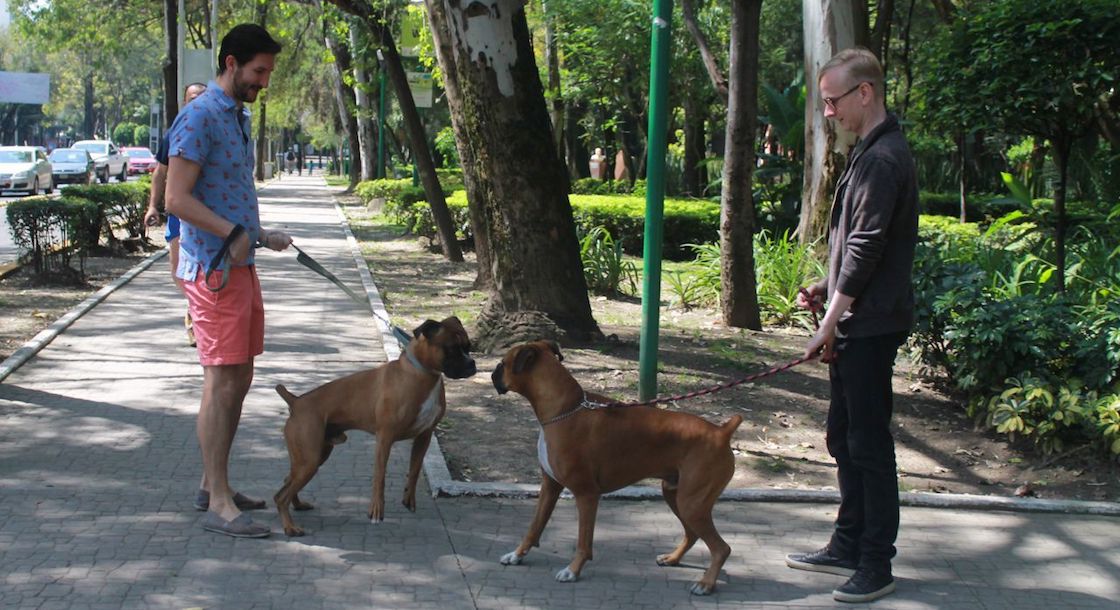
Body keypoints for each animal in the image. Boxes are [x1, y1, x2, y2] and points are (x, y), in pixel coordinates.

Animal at [278, 315, 477, 535]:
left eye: (469, 347)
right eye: (451, 348)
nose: (472, 363)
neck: (424, 374)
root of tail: (296, 401)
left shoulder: (424, 436)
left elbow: (415, 470)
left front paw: (409, 497)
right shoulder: (385, 438)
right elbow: (379, 476)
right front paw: (376, 510)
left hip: (314, 457)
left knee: (286, 483)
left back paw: (298, 506)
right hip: (309, 460)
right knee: (281, 496)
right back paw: (290, 527)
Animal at [492, 340, 743, 595]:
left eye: (502, 364)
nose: (493, 373)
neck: (563, 410)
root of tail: (721, 431)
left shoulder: (586, 495)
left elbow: (584, 541)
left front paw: (573, 570)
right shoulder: (550, 487)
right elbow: (534, 527)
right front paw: (516, 555)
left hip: (691, 503)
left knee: (721, 548)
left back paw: (705, 583)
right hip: (675, 495)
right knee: (692, 534)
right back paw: (672, 558)